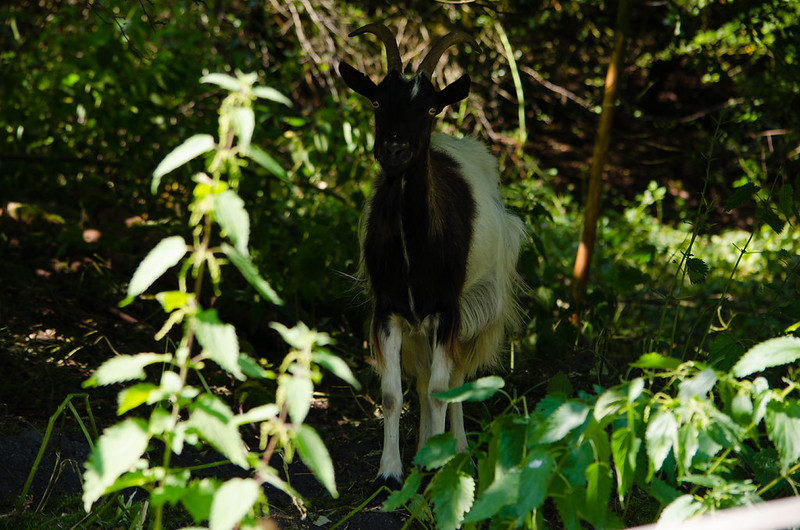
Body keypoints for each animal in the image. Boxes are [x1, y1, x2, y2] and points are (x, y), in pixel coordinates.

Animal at [339, 23, 526, 488]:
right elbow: (393, 393)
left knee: (455, 378)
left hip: (478, 309)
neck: (414, 246)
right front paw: (390, 471)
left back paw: (453, 446)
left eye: (429, 108)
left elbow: (444, 389)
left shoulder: (447, 308)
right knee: (424, 380)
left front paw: (439, 462)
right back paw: (427, 444)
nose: (394, 149)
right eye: (377, 100)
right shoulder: (388, 308)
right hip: (419, 325)